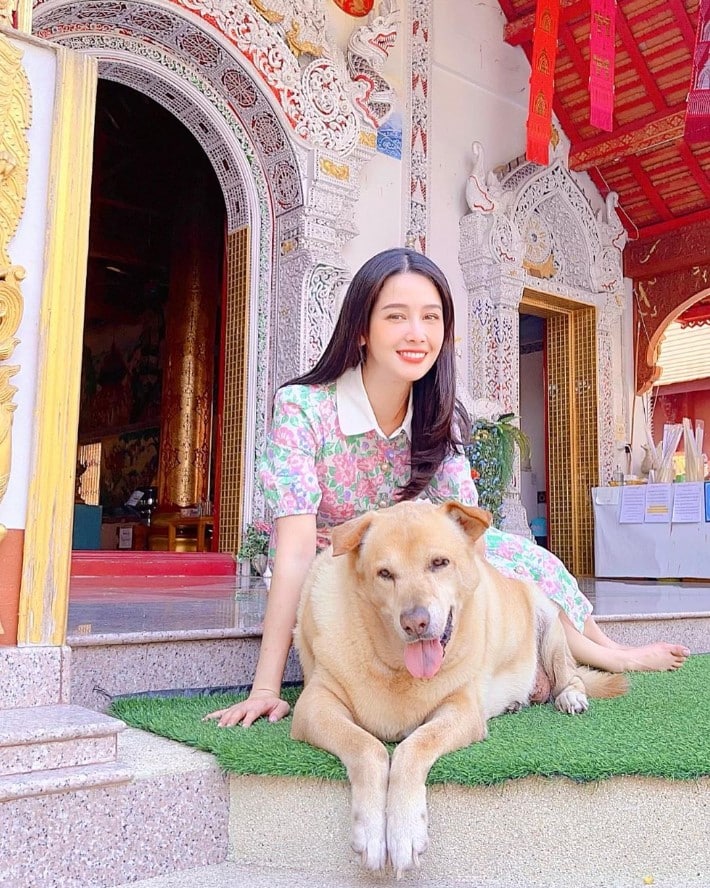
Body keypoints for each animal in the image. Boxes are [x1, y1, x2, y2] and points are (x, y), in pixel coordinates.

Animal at [291, 500, 627, 875]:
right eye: (385, 574)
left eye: (439, 563)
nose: (415, 622)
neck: (396, 666)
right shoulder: (314, 706)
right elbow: (367, 747)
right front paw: (373, 832)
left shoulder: (462, 709)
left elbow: (414, 746)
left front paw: (404, 831)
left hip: (549, 621)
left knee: (569, 673)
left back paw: (570, 696)